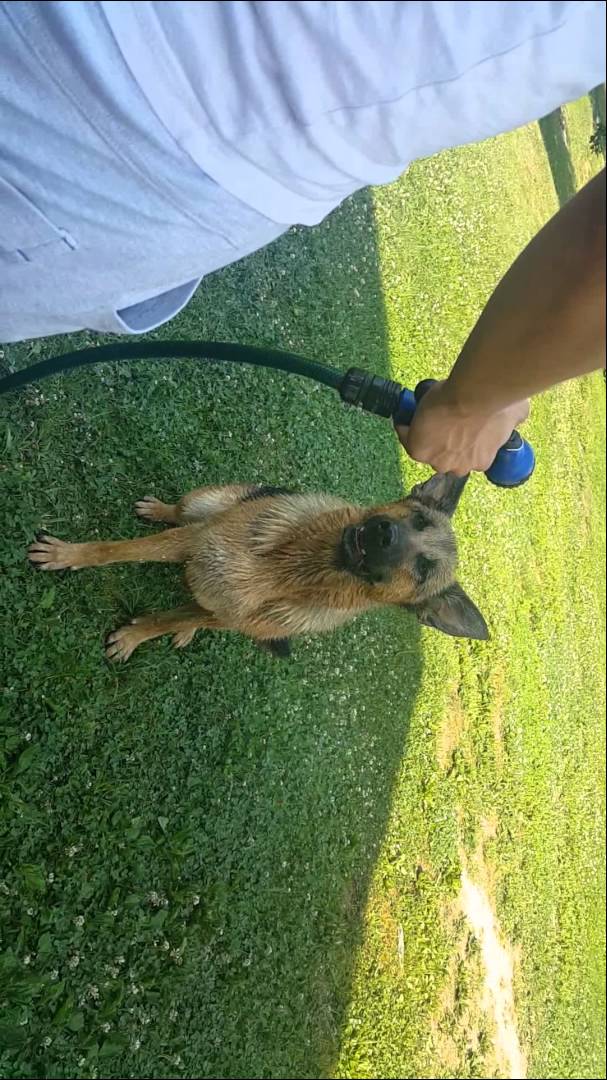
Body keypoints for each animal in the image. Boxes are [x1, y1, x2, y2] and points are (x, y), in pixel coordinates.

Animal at [29, 470, 486, 656]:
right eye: (417, 519)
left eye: (424, 569)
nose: (383, 533)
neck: (287, 567)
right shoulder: (190, 543)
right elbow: (116, 549)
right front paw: (68, 554)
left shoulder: (225, 613)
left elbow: (162, 620)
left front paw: (135, 636)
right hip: (204, 503)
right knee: (182, 512)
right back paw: (161, 509)